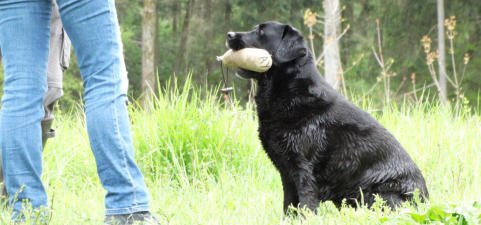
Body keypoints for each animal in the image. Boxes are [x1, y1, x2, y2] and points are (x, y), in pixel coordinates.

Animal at [225, 22, 428, 214]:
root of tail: (426, 200)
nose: (229, 34)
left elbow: (306, 206)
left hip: (378, 194)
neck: (290, 93)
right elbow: (288, 207)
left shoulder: (304, 170)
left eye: (261, 31)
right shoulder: (287, 173)